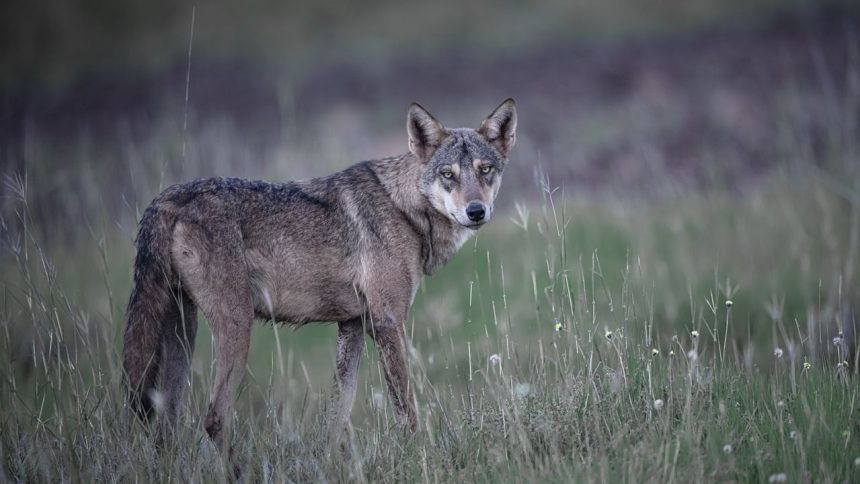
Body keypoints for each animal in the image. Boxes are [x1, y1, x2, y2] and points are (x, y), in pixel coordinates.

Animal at [122, 98, 517, 447]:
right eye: (448, 175)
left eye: (485, 170)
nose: (476, 211)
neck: (404, 208)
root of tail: (166, 199)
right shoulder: (388, 322)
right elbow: (406, 409)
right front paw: (419, 454)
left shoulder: (353, 326)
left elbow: (337, 414)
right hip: (236, 326)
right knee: (214, 419)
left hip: (183, 333)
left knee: (166, 428)